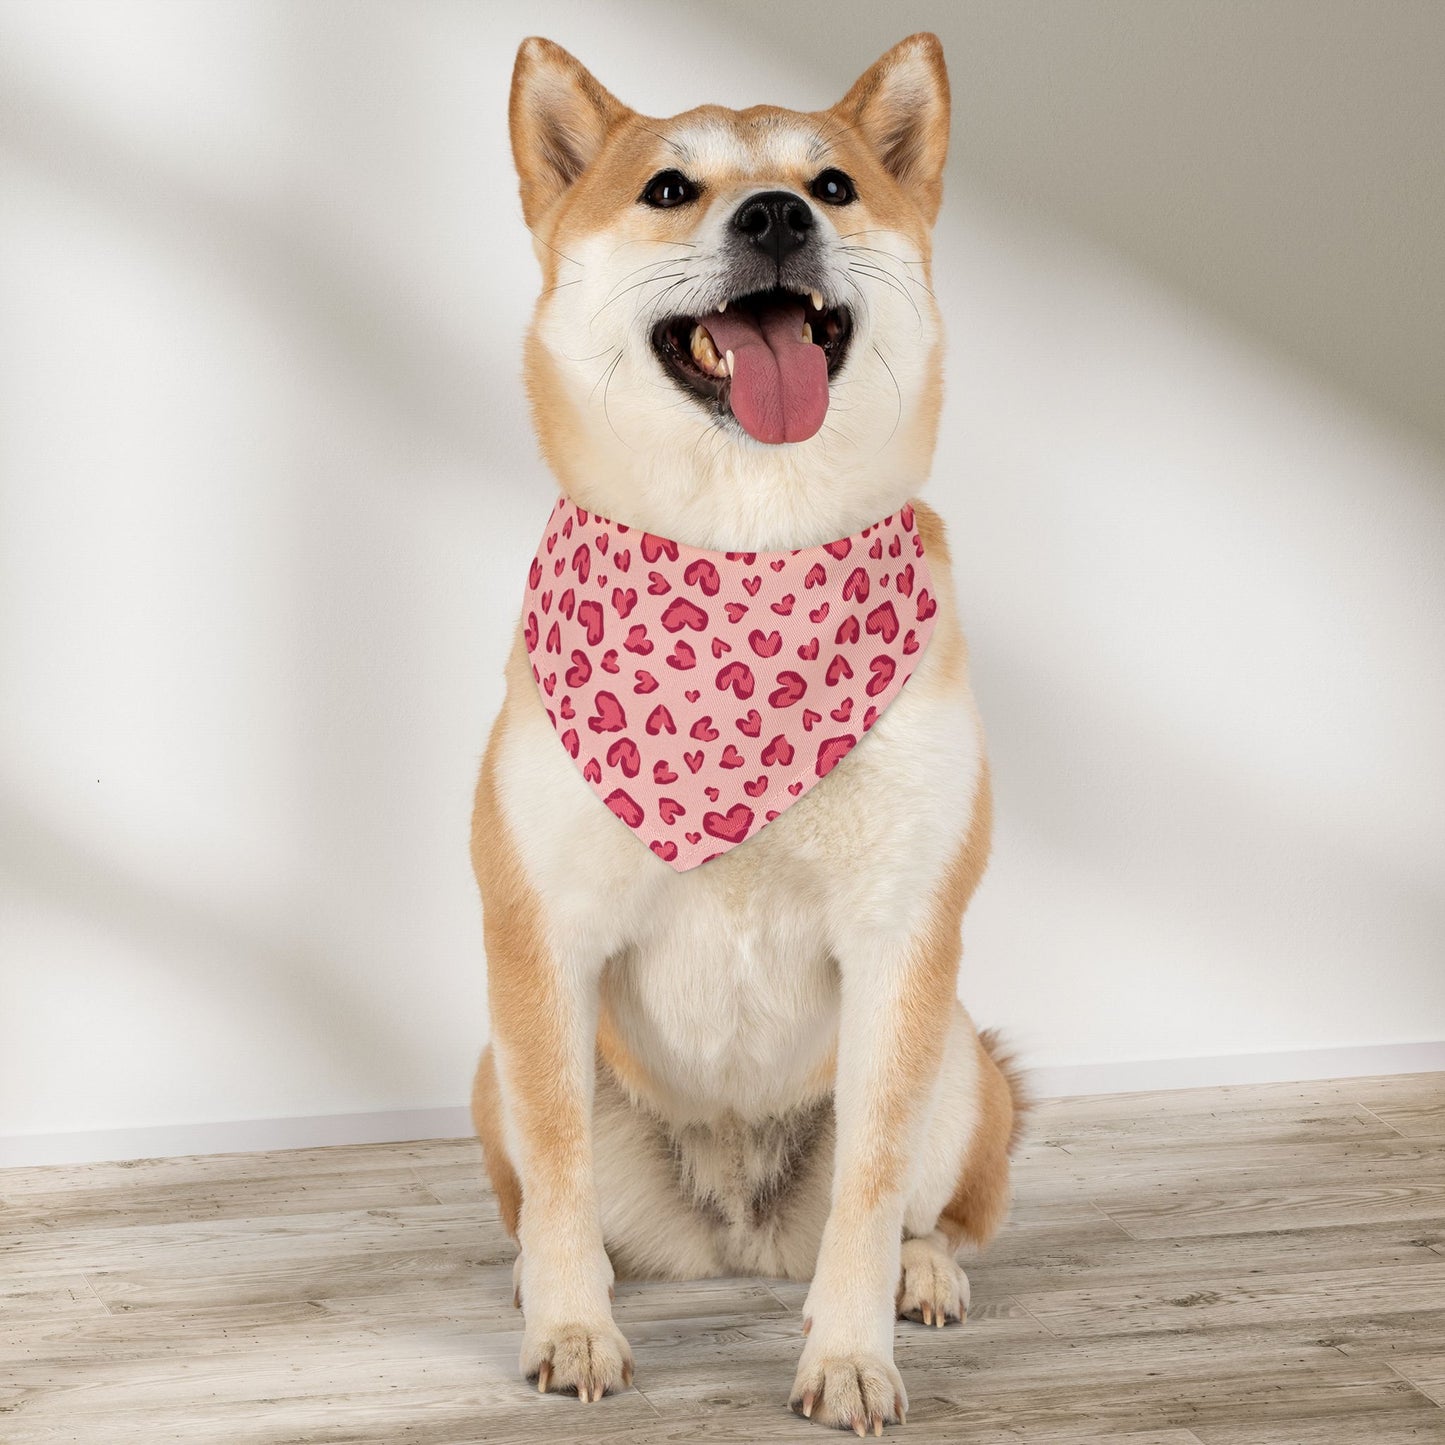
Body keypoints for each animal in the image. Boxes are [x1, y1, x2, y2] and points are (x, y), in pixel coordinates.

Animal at [468, 31, 1023, 1433]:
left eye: (830, 184)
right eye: (669, 188)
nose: (772, 215)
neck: (742, 559)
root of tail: (732, 1230)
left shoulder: (899, 939)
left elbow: (870, 1190)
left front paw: (849, 1351)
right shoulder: (540, 935)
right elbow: (559, 1173)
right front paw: (572, 1327)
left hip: (959, 1059)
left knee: (929, 1206)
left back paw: (922, 1273)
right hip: (494, 1066)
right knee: (547, 1190)